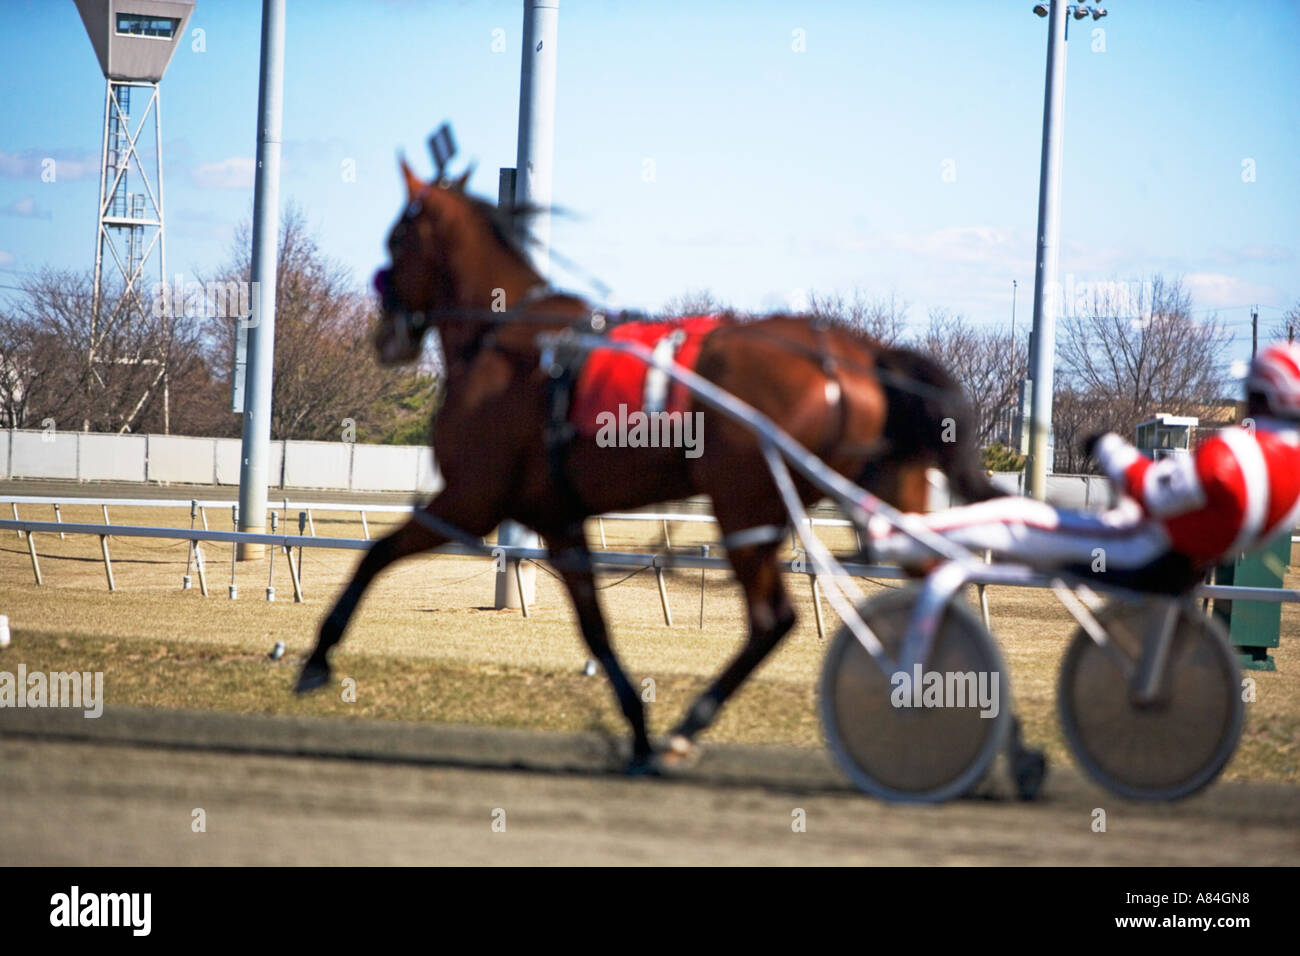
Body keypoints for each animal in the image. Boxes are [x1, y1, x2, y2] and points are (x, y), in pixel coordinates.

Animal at [295, 158, 1001, 772]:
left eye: (397, 237)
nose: (385, 332)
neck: (509, 340)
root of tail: (857, 355)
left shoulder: (471, 498)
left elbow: (375, 555)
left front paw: (316, 658)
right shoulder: (557, 517)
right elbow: (594, 629)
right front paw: (635, 729)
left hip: (746, 504)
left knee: (774, 619)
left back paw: (690, 730)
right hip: (880, 493)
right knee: (936, 577)